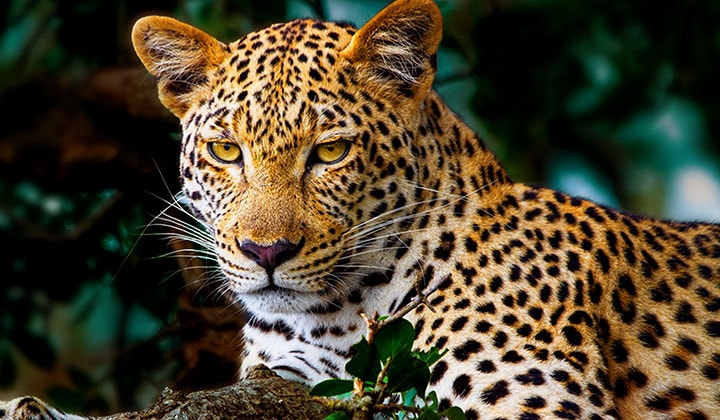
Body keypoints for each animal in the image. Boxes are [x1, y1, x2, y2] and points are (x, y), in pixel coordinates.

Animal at [3, 0, 720, 419]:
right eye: (226, 150)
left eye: (331, 151)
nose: (265, 253)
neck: (339, 317)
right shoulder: (288, 376)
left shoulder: (532, 400)